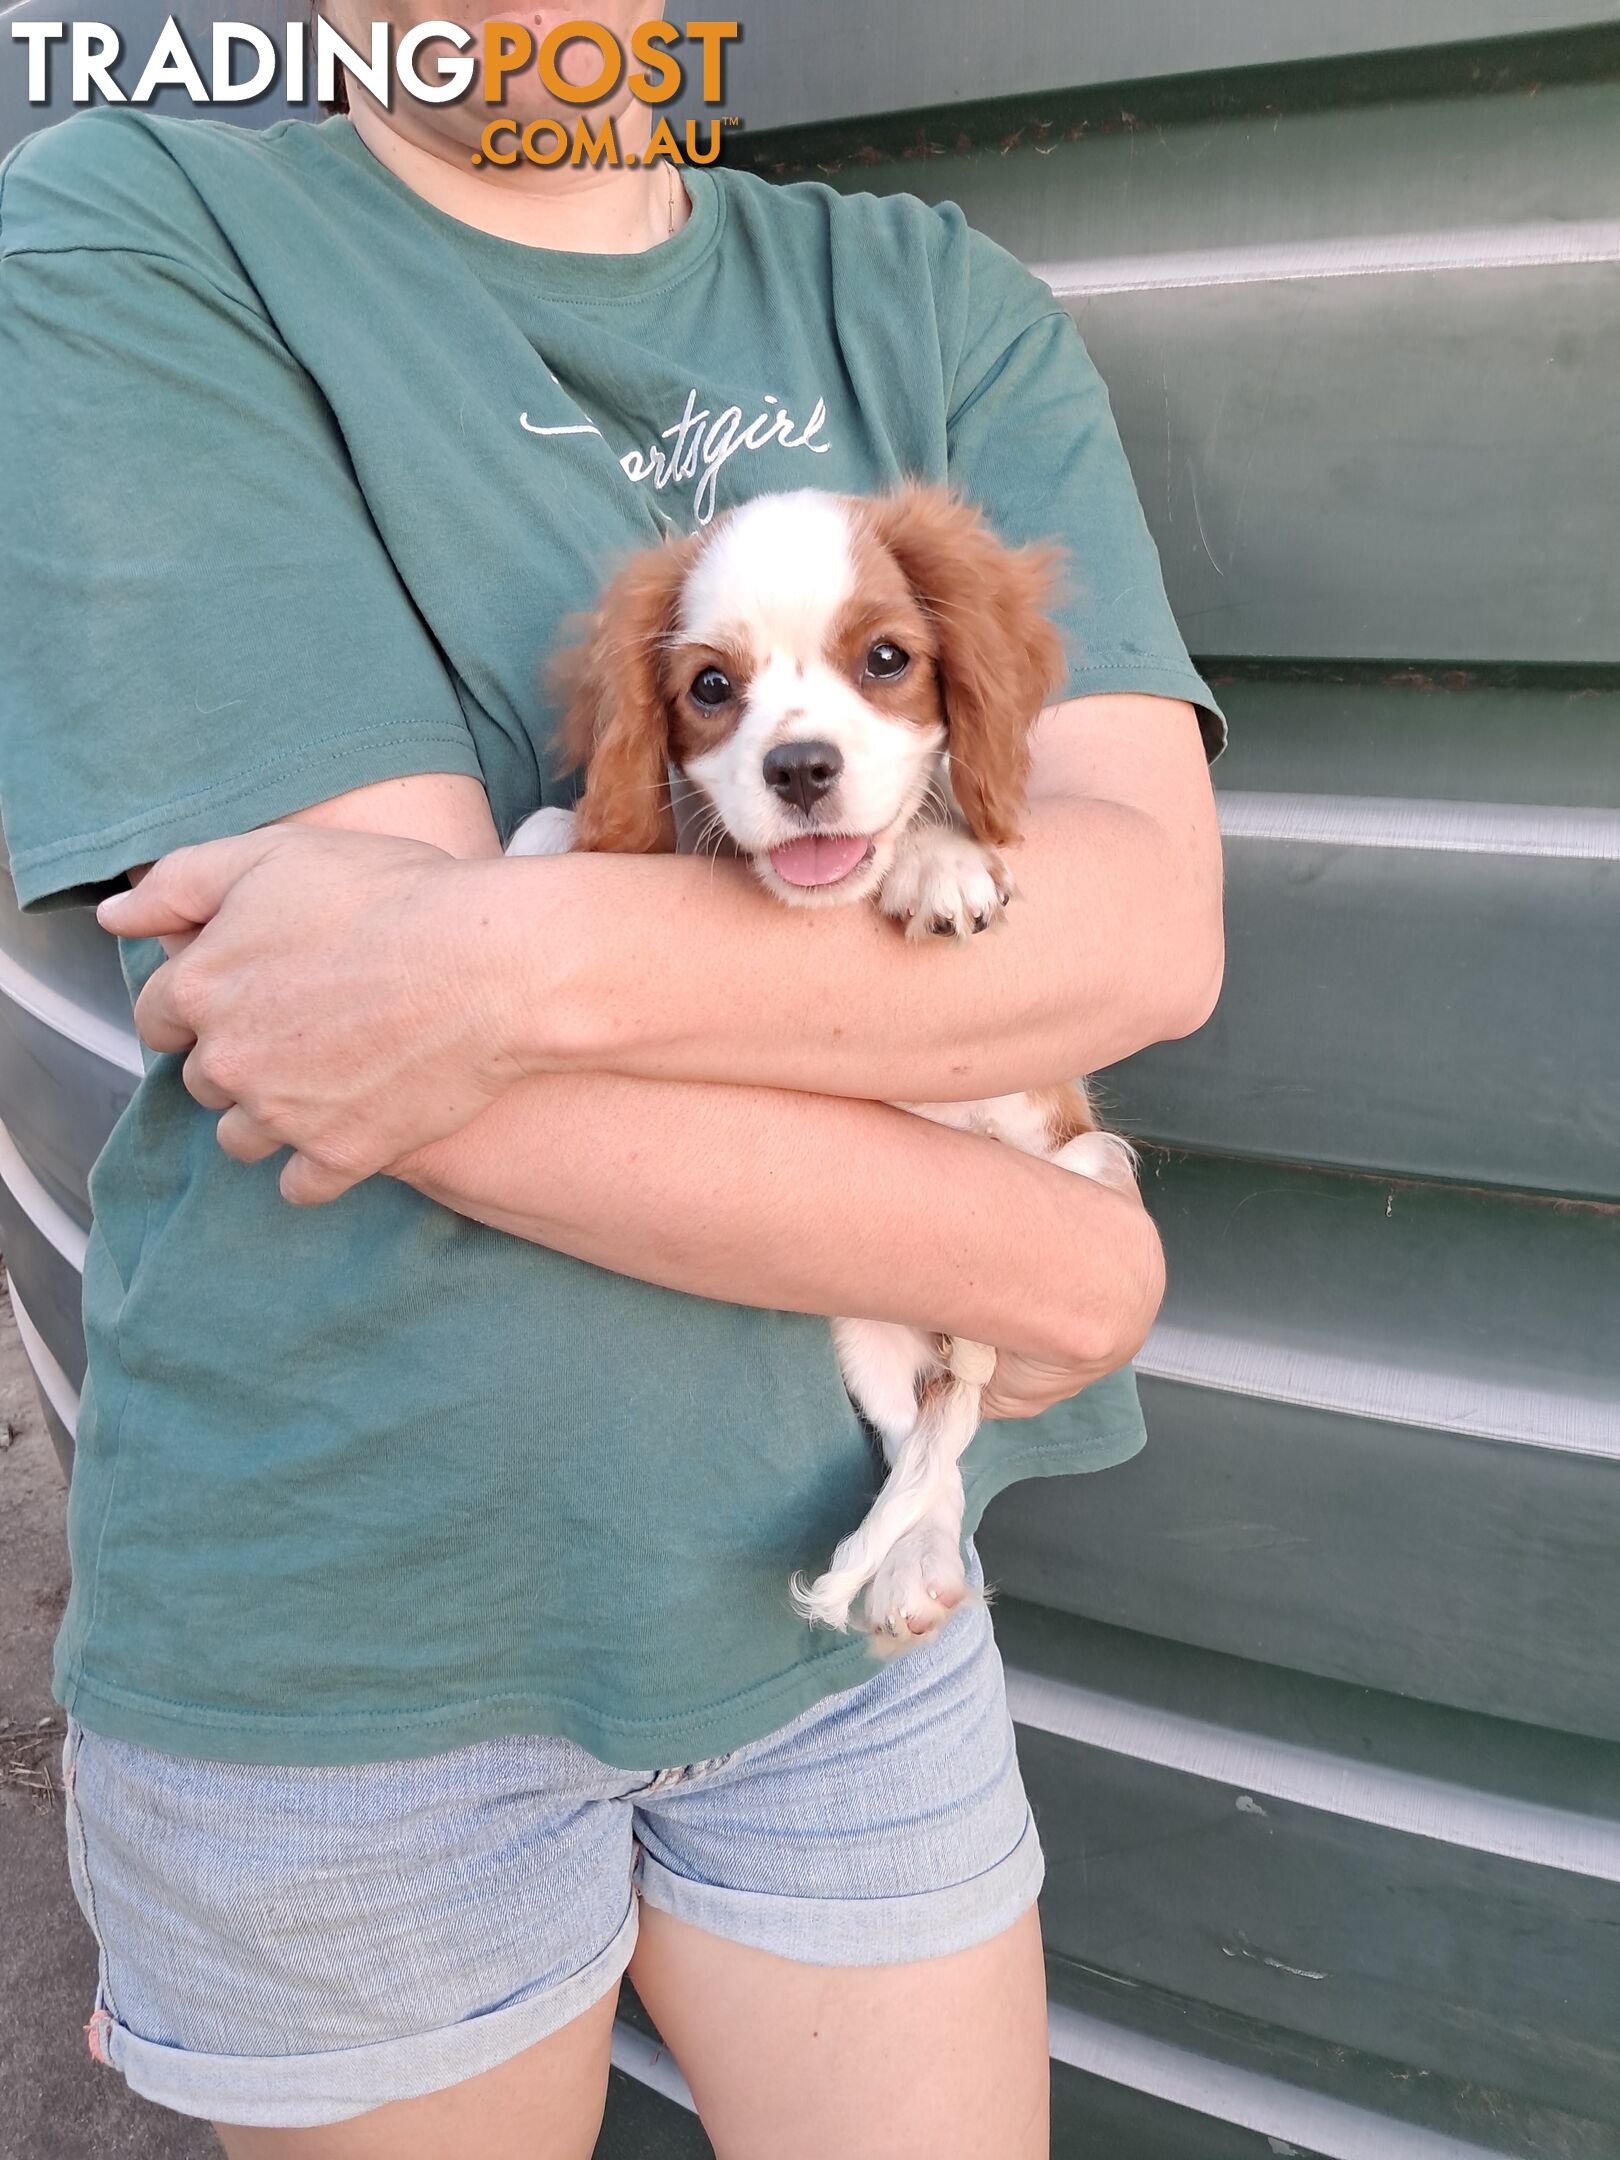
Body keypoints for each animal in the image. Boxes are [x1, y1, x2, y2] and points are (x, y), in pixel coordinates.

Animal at [514, 481, 1131, 1641]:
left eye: (887, 661)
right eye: (711, 687)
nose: (799, 767)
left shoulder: (1040, 1102)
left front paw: (938, 862)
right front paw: (553, 834)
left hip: (1081, 1175)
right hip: (859, 1330)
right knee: (923, 1444)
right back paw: (911, 1570)